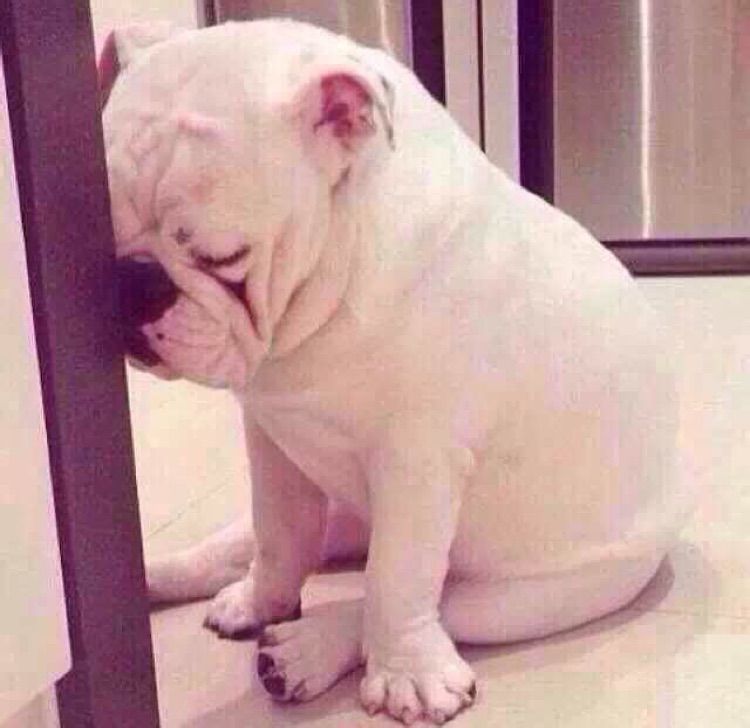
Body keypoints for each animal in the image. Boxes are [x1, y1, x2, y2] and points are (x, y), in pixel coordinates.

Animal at [103, 20, 692, 724]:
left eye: (225, 258)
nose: (133, 283)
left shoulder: (418, 464)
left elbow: (396, 581)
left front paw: (404, 675)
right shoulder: (273, 441)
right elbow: (279, 533)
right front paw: (264, 600)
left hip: (532, 596)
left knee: (423, 603)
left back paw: (308, 650)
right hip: (336, 512)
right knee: (244, 545)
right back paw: (166, 582)